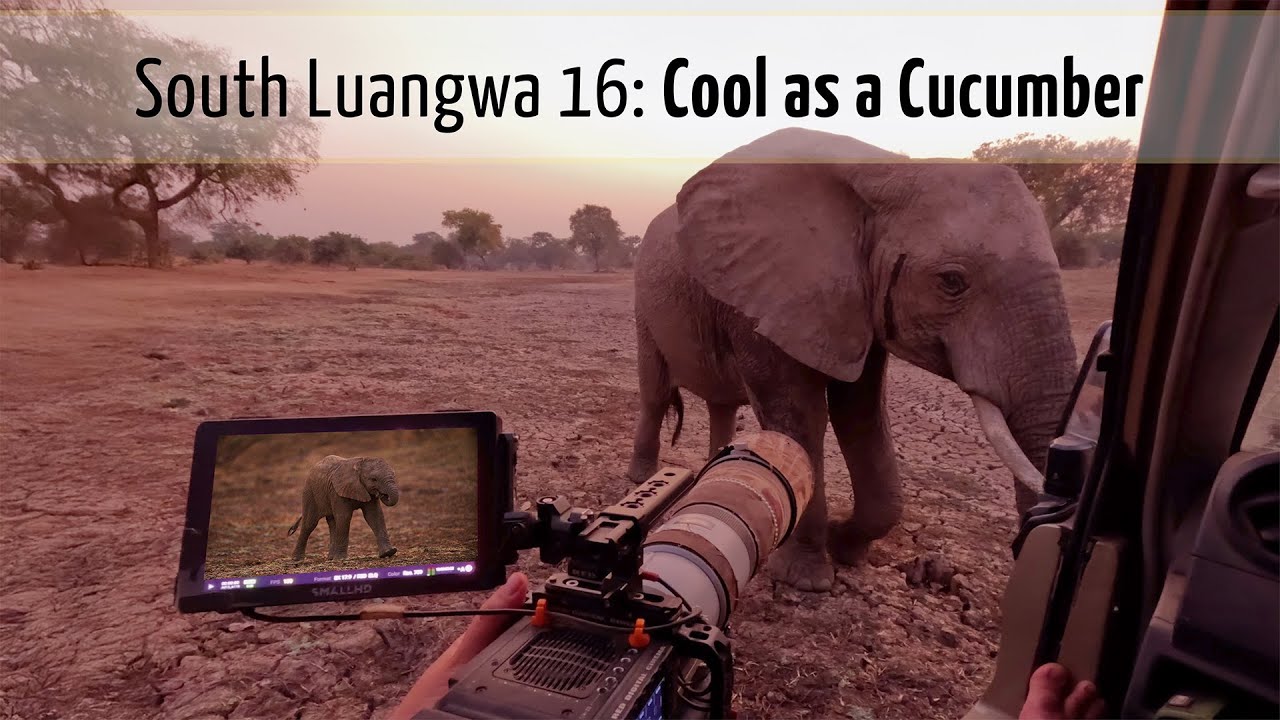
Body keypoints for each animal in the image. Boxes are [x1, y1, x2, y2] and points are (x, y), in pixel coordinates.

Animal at [625, 127, 1079, 592]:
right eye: (952, 282)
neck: (889, 172)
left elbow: (861, 412)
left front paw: (844, 546)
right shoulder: (769, 292)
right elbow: (801, 416)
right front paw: (805, 579)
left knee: (723, 403)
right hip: (644, 300)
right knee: (656, 390)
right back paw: (642, 478)